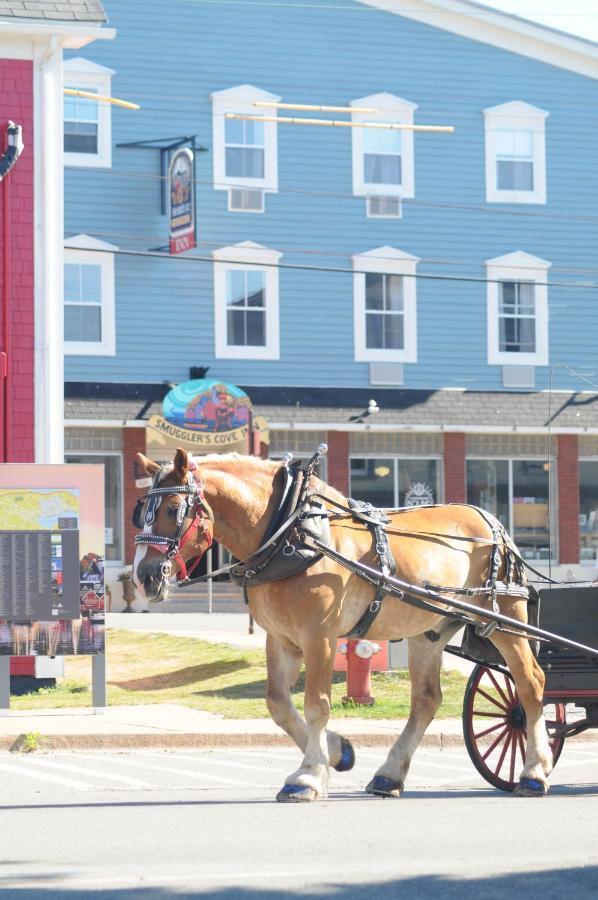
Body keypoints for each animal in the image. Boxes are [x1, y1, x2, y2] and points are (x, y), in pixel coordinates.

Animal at [132, 448, 552, 800]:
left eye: (173, 507)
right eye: (141, 511)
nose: (143, 576)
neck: (288, 533)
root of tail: (491, 519)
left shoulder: (319, 635)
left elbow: (316, 704)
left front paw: (308, 776)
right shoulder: (280, 638)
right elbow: (278, 704)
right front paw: (337, 752)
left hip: (504, 620)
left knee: (531, 682)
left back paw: (534, 771)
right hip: (428, 632)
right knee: (426, 700)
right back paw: (389, 774)